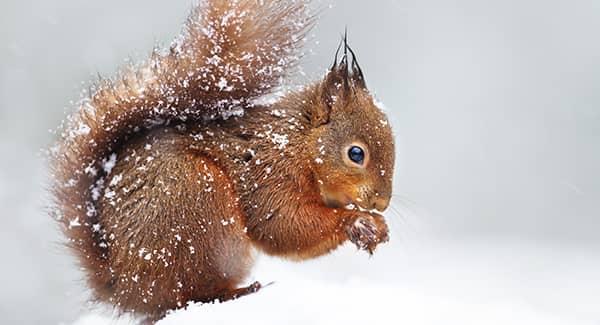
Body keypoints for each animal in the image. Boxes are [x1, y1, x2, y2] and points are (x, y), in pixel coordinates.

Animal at [50, 0, 394, 318]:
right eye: (356, 154)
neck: (300, 144)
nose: (381, 202)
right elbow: (284, 227)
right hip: (197, 205)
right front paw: (358, 221)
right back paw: (236, 292)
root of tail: (121, 286)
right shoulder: (268, 172)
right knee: (188, 296)